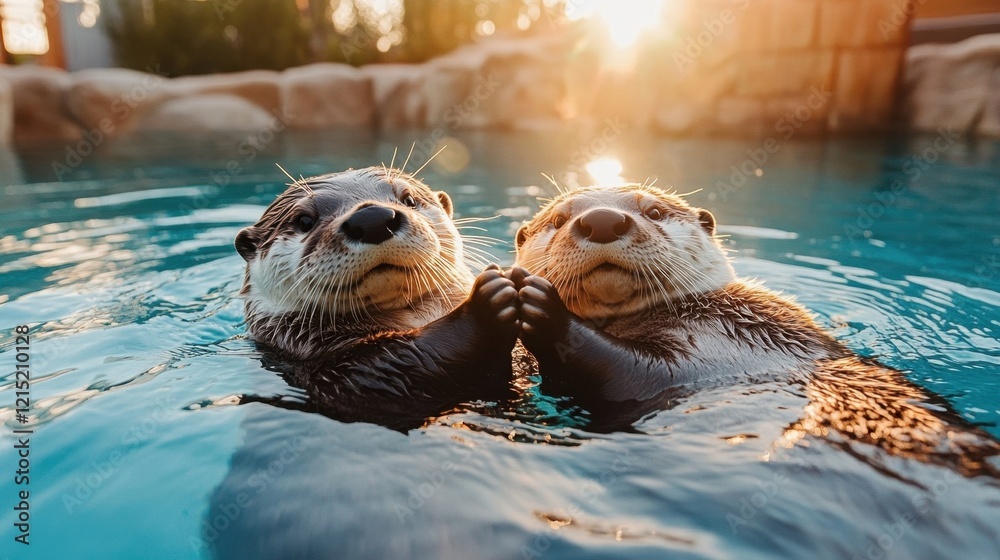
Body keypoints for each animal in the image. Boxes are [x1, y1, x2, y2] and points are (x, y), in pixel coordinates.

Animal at [235, 167, 519, 428]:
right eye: (304, 221)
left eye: (409, 199)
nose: (372, 219)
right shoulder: (350, 378)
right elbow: (401, 364)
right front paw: (488, 302)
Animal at [511, 184, 1000, 475]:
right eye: (558, 219)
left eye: (654, 210)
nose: (602, 220)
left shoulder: (718, 342)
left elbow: (635, 373)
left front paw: (542, 304)